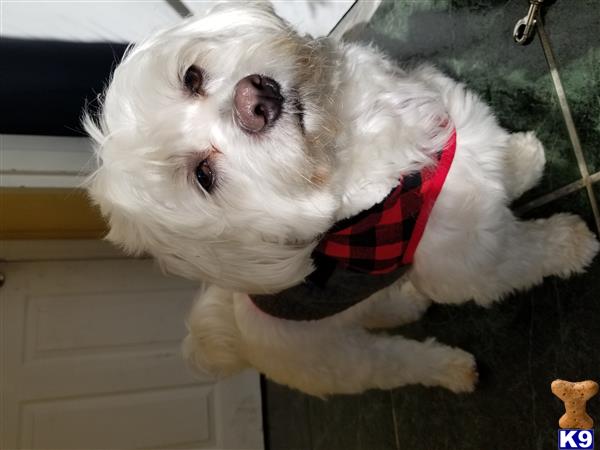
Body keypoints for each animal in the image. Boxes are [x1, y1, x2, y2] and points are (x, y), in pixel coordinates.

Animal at [86, 4, 596, 398]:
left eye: (191, 77)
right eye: (203, 176)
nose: (255, 100)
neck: (350, 134)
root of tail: (234, 334)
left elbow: (498, 164)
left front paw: (524, 160)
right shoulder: (467, 260)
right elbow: (524, 255)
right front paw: (573, 243)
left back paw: (406, 301)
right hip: (341, 361)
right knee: (394, 362)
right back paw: (451, 369)